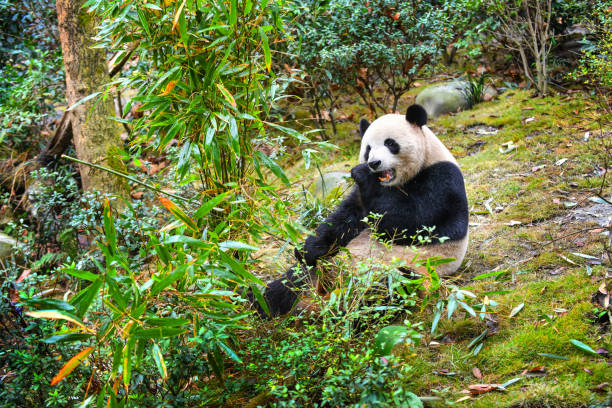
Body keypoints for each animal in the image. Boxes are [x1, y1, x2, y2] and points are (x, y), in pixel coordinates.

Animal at [258, 103, 468, 318]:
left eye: (390, 143)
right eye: (368, 149)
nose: (373, 163)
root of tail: (330, 285)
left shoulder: (442, 179)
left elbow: (410, 222)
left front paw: (362, 173)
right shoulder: (361, 199)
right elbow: (346, 219)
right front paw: (307, 248)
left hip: (412, 269)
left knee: (386, 287)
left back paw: (344, 309)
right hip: (321, 268)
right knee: (290, 282)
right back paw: (261, 303)